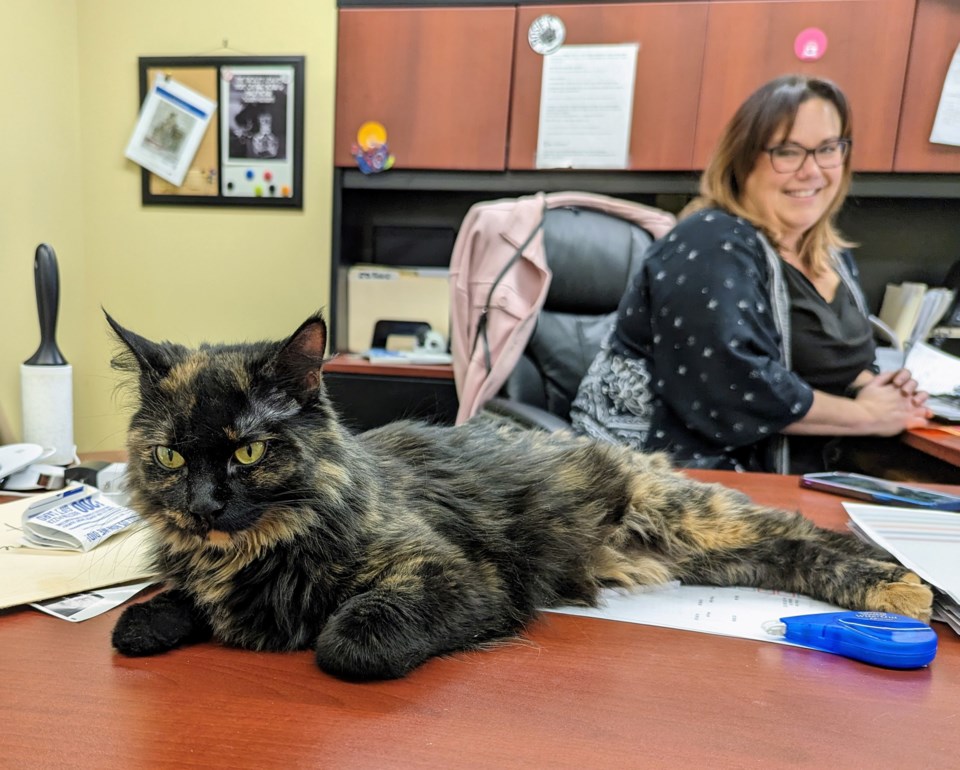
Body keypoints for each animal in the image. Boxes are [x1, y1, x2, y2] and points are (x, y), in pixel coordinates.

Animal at [109, 312, 932, 680]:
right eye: (170, 456)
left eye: (248, 451)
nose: (203, 506)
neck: (248, 553)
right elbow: (164, 606)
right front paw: (149, 620)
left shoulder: (456, 576)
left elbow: (347, 642)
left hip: (692, 520)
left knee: (802, 532)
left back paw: (905, 589)